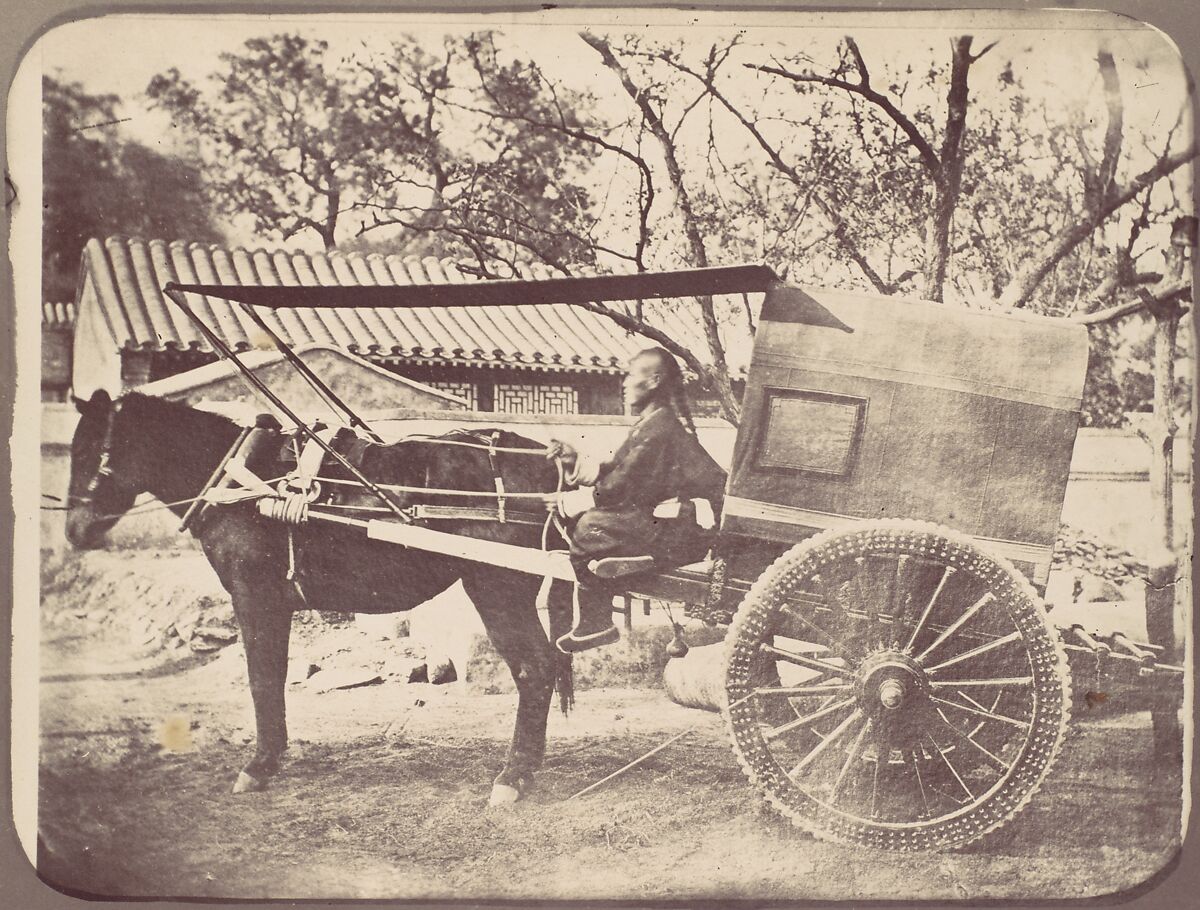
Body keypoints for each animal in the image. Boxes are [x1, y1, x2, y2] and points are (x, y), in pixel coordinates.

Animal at [63, 391, 578, 806]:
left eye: (91, 453)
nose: (73, 531)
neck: (241, 481)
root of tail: (543, 458)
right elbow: (270, 677)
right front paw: (272, 757)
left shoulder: (254, 597)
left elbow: (262, 680)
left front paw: (260, 764)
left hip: (497, 584)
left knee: (534, 669)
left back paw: (513, 775)